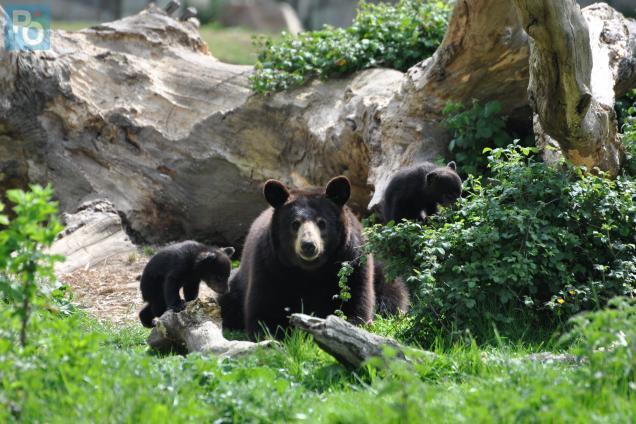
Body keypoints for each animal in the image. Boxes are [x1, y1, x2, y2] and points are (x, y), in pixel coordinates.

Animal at [221, 177, 376, 340]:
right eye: (295, 224)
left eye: (322, 223)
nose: (308, 245)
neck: (310, 270)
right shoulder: (269, 264)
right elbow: (264, 309)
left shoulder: (352, 260)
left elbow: (353, 302)